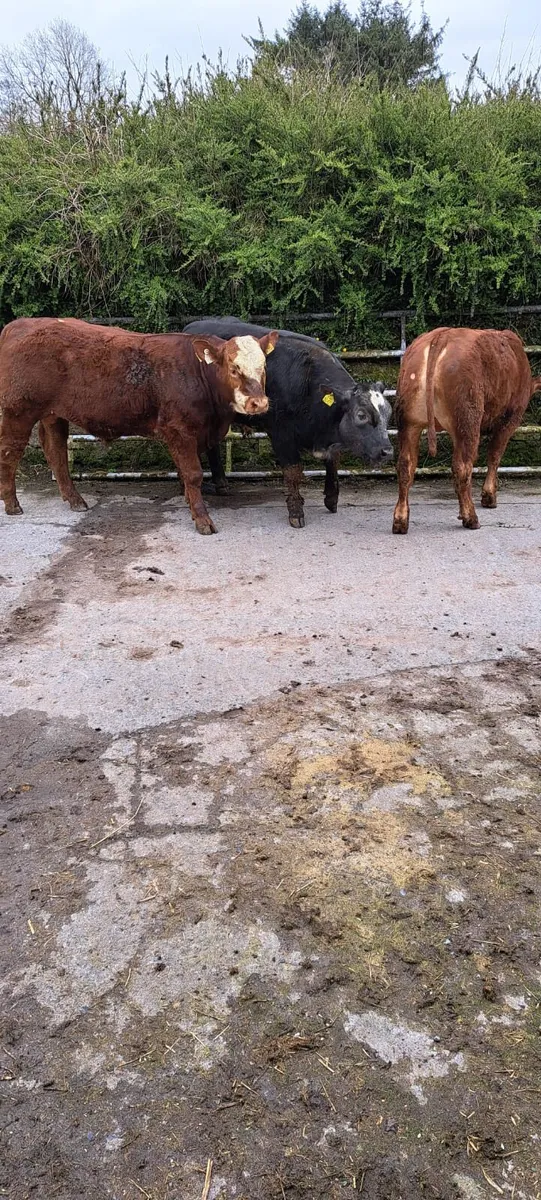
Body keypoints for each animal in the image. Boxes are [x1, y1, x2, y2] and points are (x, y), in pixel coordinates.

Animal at [0, 318, 277, 534]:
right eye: (233, 368)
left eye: (263, 366)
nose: (259, 402)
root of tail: (21, 324)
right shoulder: (180, 430)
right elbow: (193, 474)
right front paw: (202, 520)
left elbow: (187, 473)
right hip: (18, 411)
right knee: (10, 452)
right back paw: (12, 503)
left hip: (53, 414)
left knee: (55, 451)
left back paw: (74, 499)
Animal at [183, 317, 394, 527]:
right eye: (361, 415)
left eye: (388, 412)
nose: (387, 451)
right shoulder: (281, 434)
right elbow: (293, 471)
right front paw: (296, 511)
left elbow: (333, 460)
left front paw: (331, 499)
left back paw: (221, 483)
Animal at [392, 326, 541, 535]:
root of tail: (441, 335)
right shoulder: (510, 419)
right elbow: (494, 456)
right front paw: (489, 497)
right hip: (467, 419)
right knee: (463, 466)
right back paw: (471, 518)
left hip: (409, 422)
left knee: (406, 466)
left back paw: (400, 521)